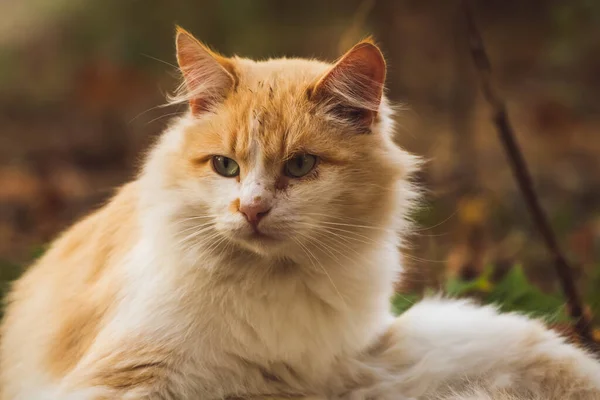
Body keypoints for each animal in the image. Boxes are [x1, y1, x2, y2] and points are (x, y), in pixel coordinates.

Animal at [1, 26, 600, 398]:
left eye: (301, 166)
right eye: (225, 166)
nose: (251, 209)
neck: (271, 286)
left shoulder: (346, 368)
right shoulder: (127, 376)